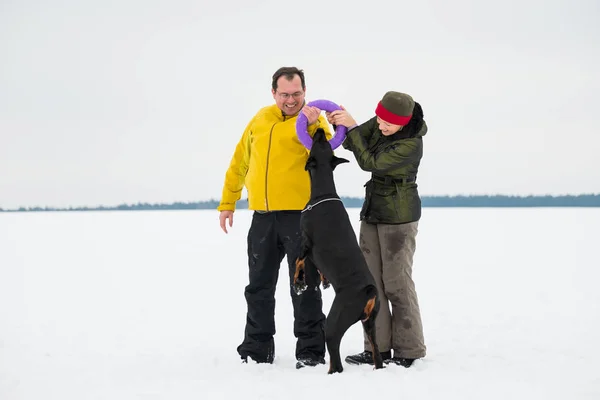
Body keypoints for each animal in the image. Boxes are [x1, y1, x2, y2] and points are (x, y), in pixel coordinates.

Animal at [294, 129, 384, 376]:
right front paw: (323, 281)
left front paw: (298, 283)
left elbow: (298, 261)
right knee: (377, 355)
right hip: (371, 323)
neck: (323, 193)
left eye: (319, 142)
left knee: (336, 360)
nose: (319, 131)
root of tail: (369, 291)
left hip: (335, 322)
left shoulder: (305, 240)